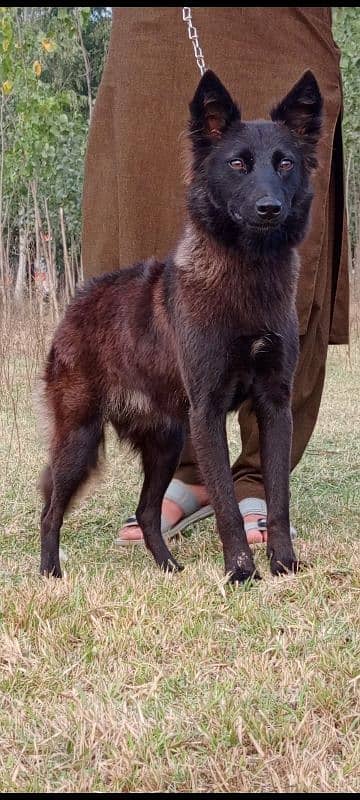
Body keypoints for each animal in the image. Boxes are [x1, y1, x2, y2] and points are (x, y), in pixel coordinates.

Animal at [38, 70, 322, 580]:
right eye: (237, 164)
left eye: (285, 163)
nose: (270, 208)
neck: (246, 277)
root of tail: (77, 303)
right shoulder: (206, 411)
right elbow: (226, 504)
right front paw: (241, 573)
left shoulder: (274, 405)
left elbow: (278, 498)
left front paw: (284, 564)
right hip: (80, 438)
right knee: (51, 510)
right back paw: (51, 573)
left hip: (166, 443)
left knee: (148, 511)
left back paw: (169, 567)